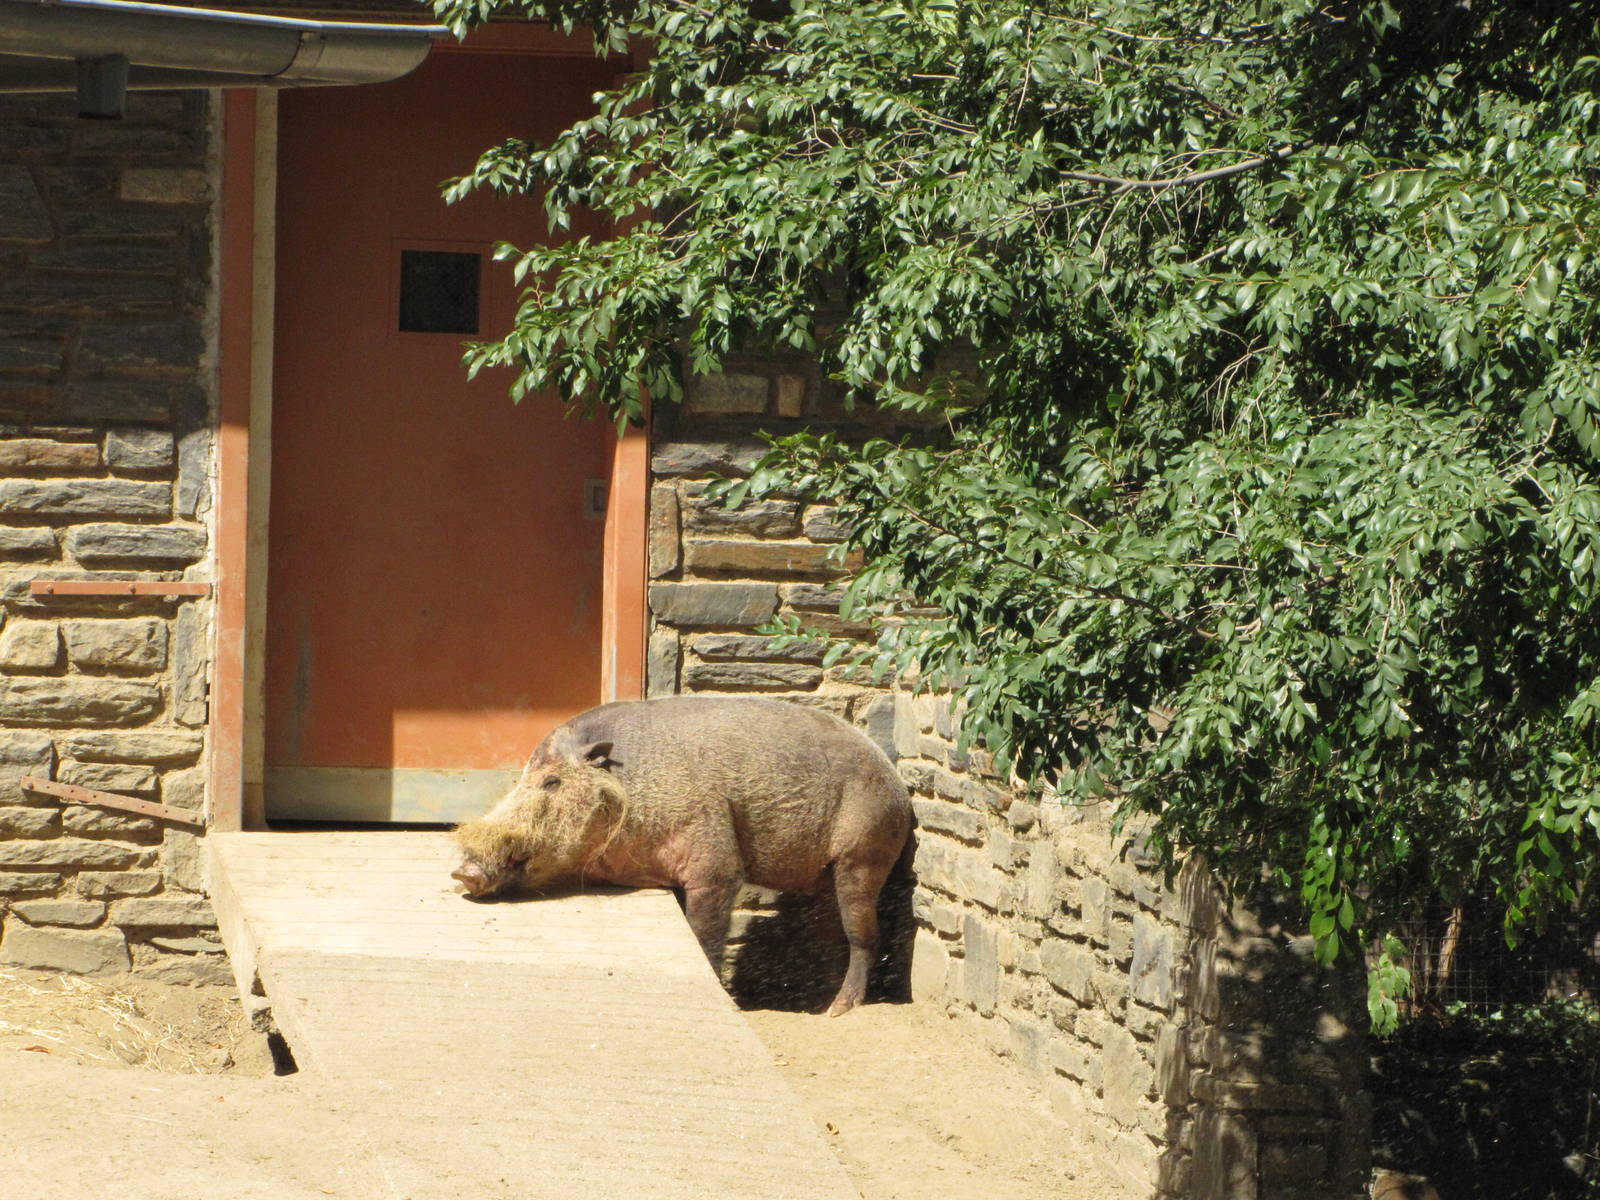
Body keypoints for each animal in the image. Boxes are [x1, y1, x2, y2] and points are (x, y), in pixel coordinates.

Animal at [451, 695, 913, 1016]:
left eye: (551, 782)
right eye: (522, 778)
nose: (462, 873)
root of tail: (899, 790)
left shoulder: (715, 862)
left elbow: (704, 932)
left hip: (863, 856)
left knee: (863, 936)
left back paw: (837, 1011)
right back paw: (816, 1002)